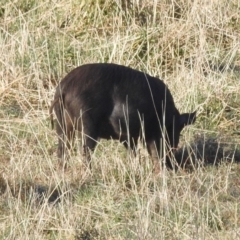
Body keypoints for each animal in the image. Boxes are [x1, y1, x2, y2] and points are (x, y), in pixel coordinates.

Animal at [49, 63, 196, 172]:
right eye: (177, 132)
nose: (174, 164)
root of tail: (64, 88)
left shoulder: (128, 136)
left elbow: (134, 152)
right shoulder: (153, 131)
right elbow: (154, 152)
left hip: (62, 124)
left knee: (62, 149)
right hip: (87, 122)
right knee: (85, 151)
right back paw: (89, 174)